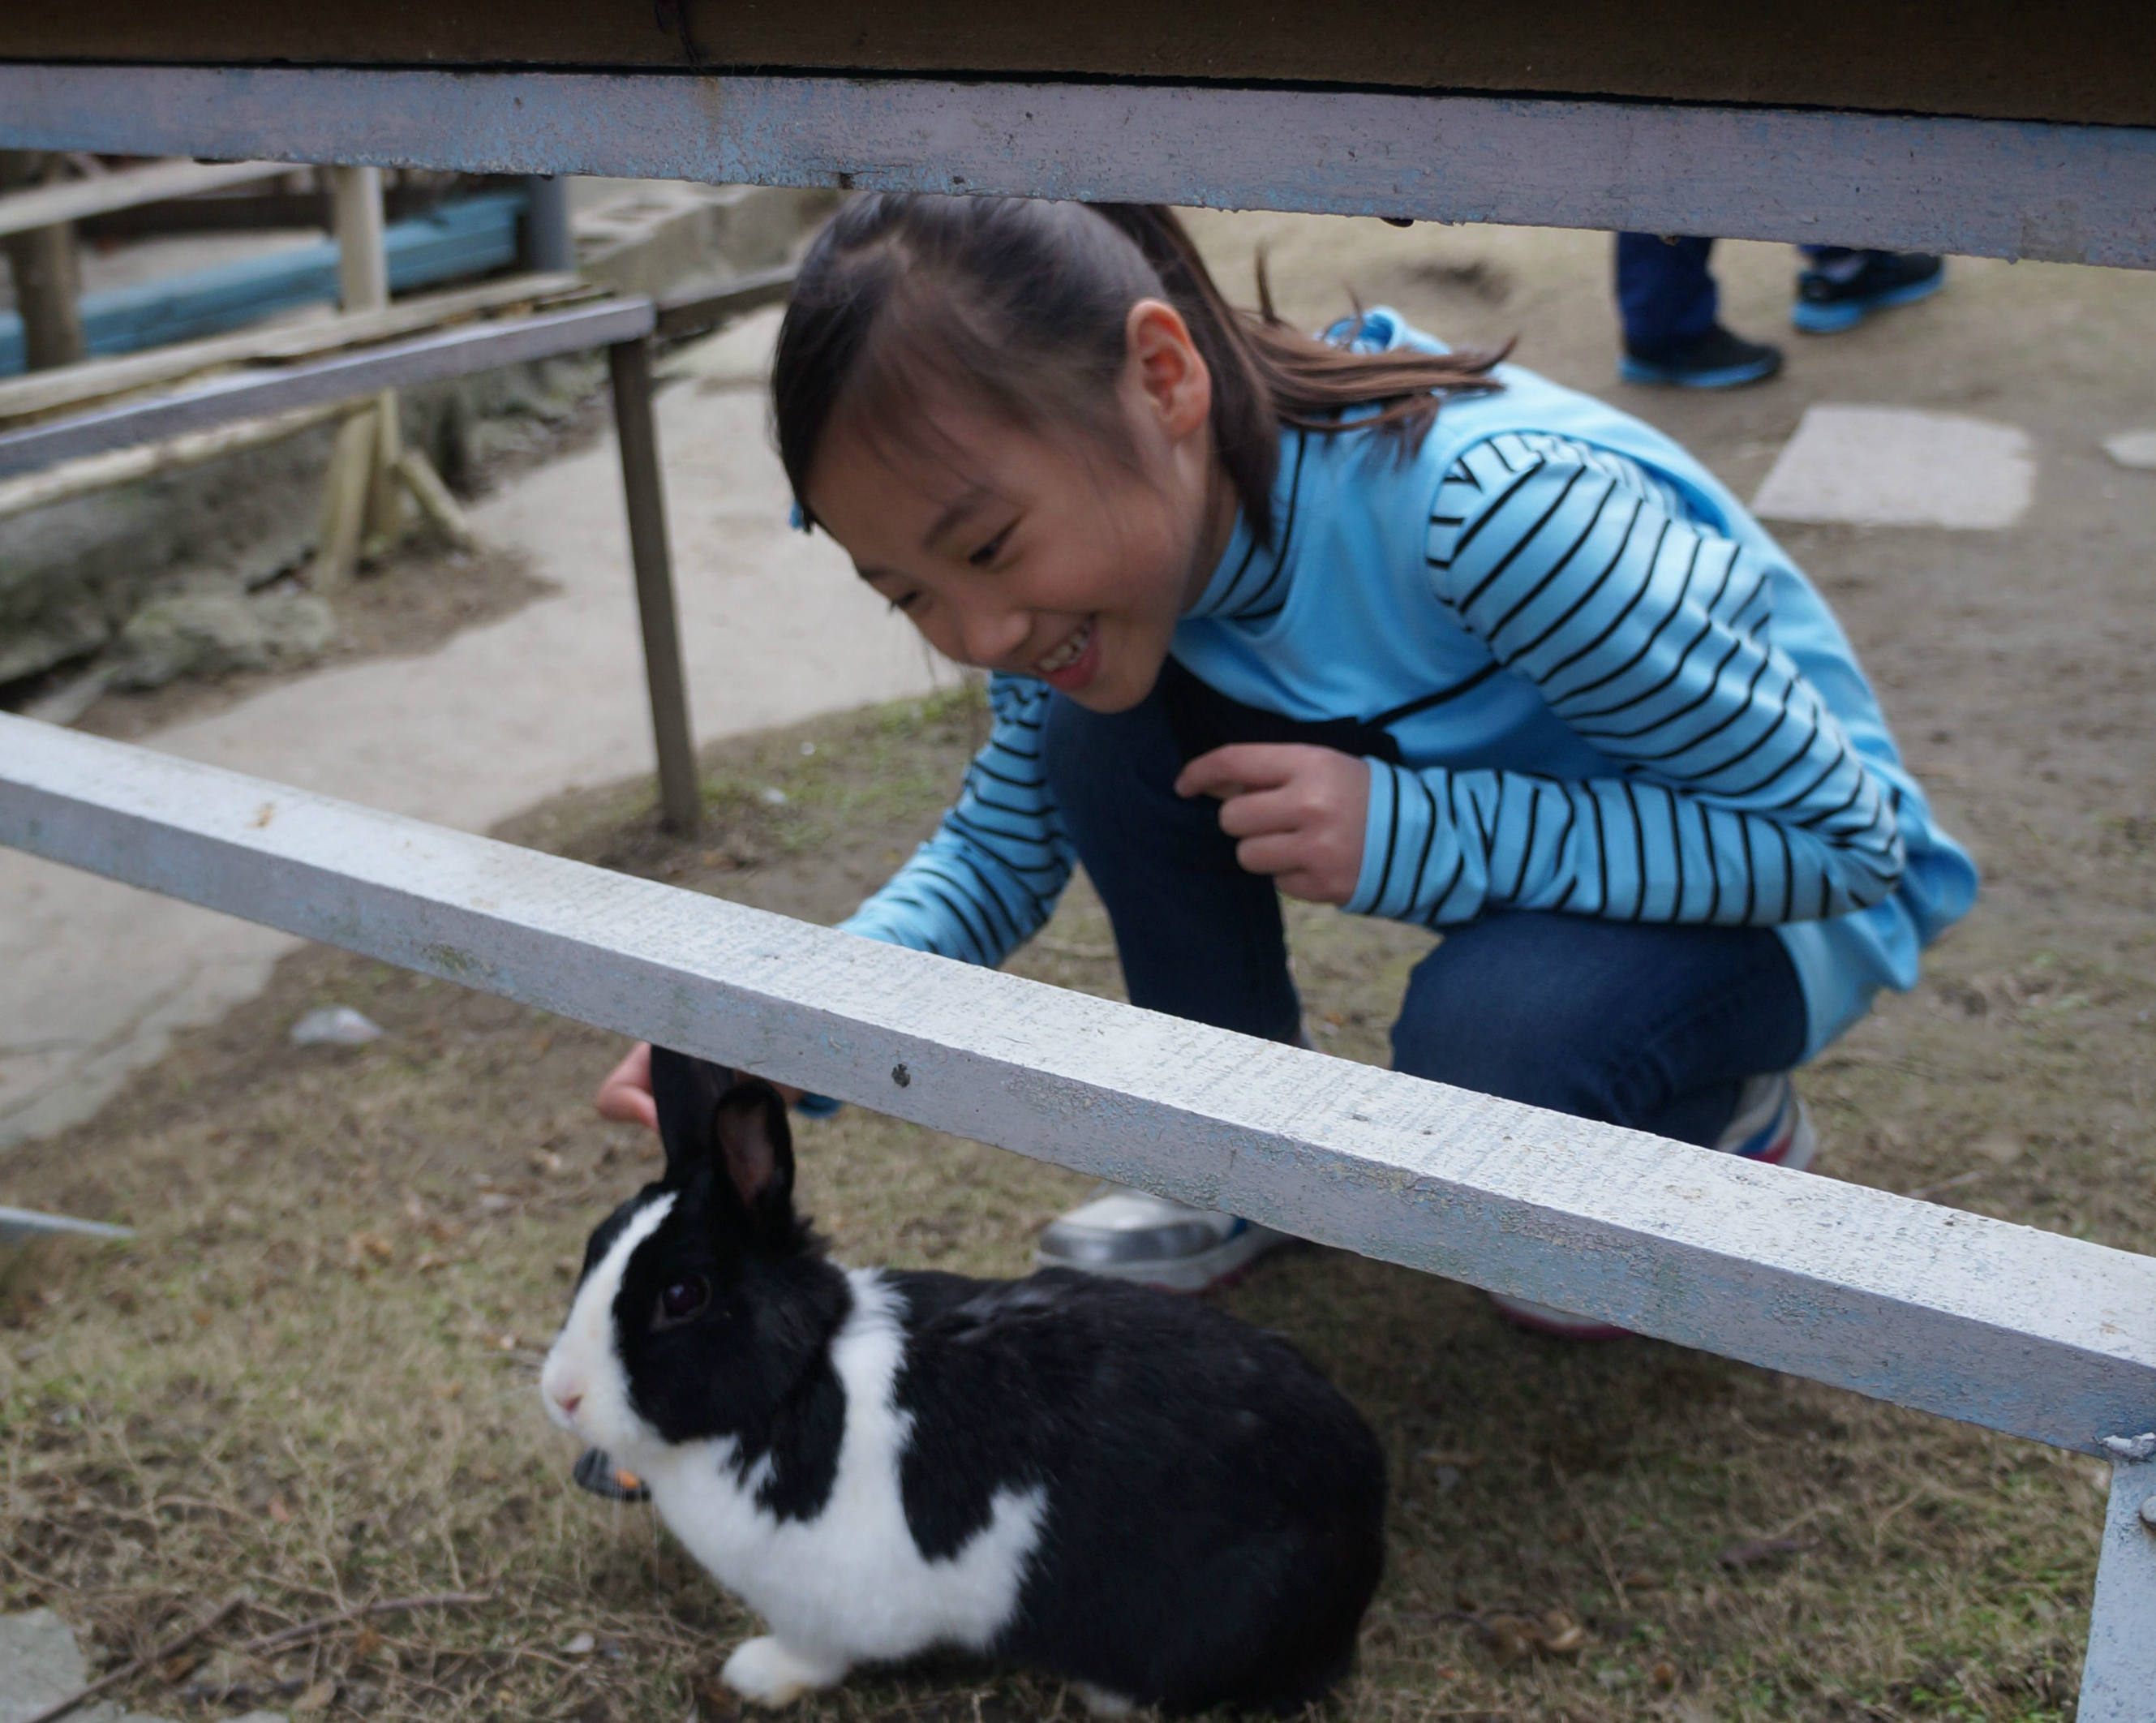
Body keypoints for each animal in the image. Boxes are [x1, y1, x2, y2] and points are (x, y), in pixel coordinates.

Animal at [539, 1043, 1380, 1717]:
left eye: (684, 1296)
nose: (562, 1396)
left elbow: (815, 1654)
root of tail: (1363, 1512)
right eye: (595, 1242)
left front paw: (756, 1675)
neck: (797, 1380)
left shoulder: (822, 1608)